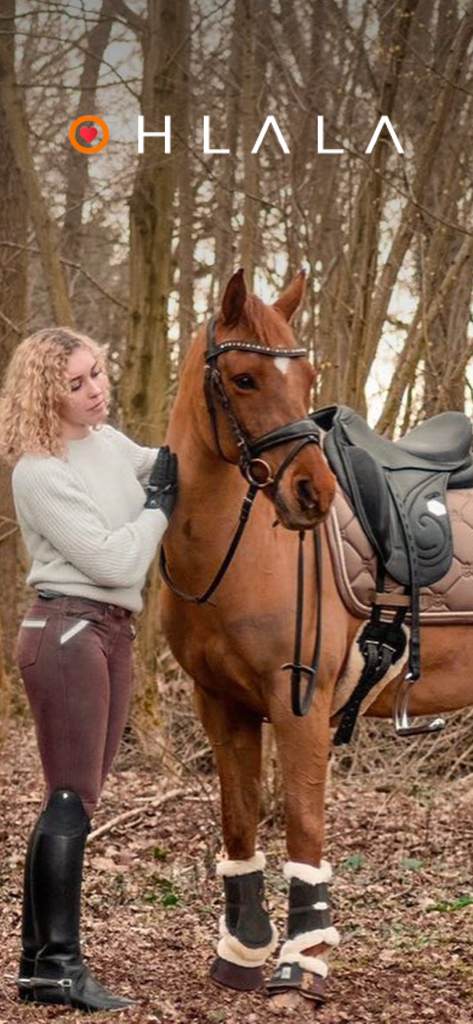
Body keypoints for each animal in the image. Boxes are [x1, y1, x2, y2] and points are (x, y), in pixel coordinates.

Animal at [160, 268, 473, 1010]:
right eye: (244, 378)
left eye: (305, 377)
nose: (312, 494)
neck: (242, 550)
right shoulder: (220, 703)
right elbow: (240, 819)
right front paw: (242, 951)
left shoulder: (299, 705)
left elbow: (303, 826)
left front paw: (302, 963)